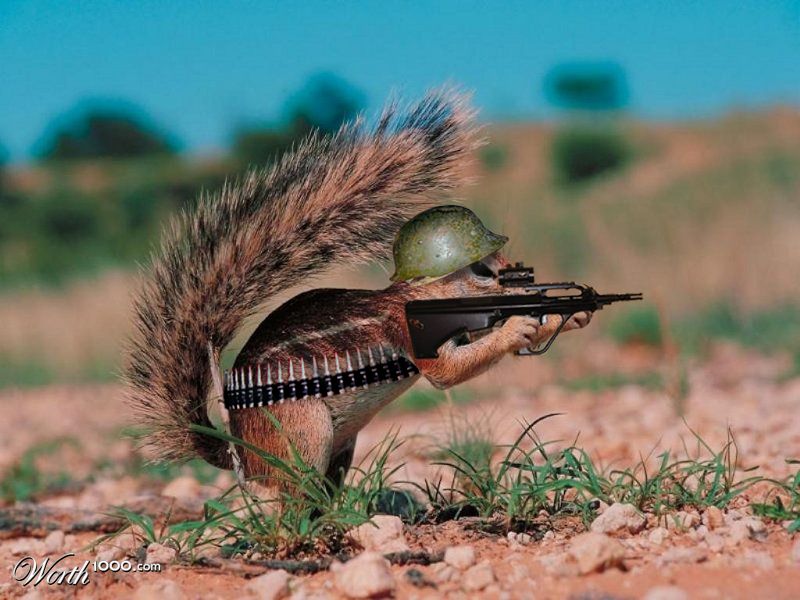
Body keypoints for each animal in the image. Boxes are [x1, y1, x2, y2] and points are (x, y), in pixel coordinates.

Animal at [125, 89, 592, 494]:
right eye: (482, 270)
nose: (527, 282)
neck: (415, 298)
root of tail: (238, 450)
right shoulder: (407, 329)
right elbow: (445, 373)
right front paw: (517, 329)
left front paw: (563, 318)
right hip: (300, 433)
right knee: (289, 496)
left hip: (340, 449)